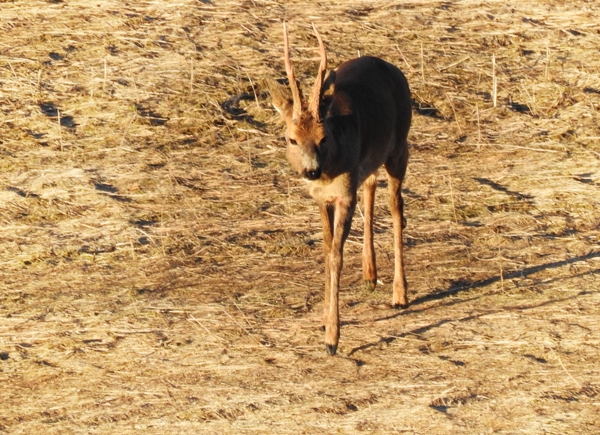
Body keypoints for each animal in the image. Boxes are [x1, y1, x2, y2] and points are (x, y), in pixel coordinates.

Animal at [268, 23, 412, 356]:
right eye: (291, 139)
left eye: (323, 137)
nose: (311, 170)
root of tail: (389, 66)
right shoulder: (322, 198)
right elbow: (325, 249)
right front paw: (323, 321)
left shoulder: (345, 194)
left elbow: (336, 255)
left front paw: (332, 338)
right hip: (371, 160)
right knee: (371, 186)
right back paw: (370, 274)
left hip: (400, 146)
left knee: (397, 207)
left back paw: (399, 294)